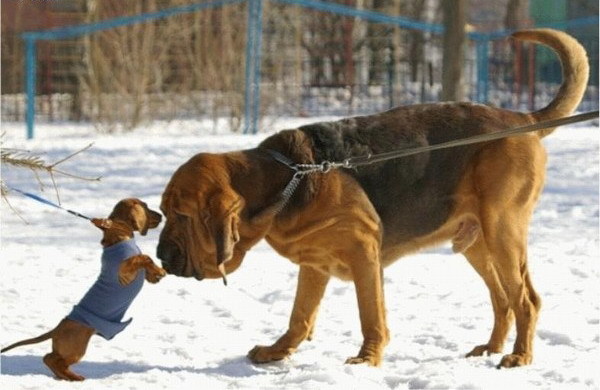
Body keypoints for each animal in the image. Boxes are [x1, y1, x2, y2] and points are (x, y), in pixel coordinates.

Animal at [1, 198, 166, 380]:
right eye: (145, 206)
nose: (161, 215)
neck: (117, 233)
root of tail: (58, 327)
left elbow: (145, 262)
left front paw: (155, 274)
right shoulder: (124, 273)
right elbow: (143, 256)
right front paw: (159, 271)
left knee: (53, 360)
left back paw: (67, 376)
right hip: (76, 347)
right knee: (50, 359)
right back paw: (75, 377)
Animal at [157, 29, 588, 368]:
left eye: (181, 214)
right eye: (163, 212)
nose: (160, 255)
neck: (287, 180)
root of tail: (519, 119)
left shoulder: (364, 254)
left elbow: (370, 315)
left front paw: (367, 359)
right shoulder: (313, 266)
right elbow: (300, 317)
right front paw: (278, 352)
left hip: (502, 233)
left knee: (526, 300)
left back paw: (518, 357)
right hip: (476, 243)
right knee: (502, 299)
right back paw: (491, 348)